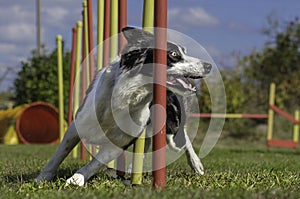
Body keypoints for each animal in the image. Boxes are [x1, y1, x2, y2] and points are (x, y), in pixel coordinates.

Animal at [34, 27, 211, 186]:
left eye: (184, 51)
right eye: (173, 54)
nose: (209, 66)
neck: (128, 97)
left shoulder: (120, 141)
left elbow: (95, 163)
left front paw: (77, 179)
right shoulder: (78, 124)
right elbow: (59, 154)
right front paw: (42, 178)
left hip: (171, 126)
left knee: (182, 138)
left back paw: (196, 163)